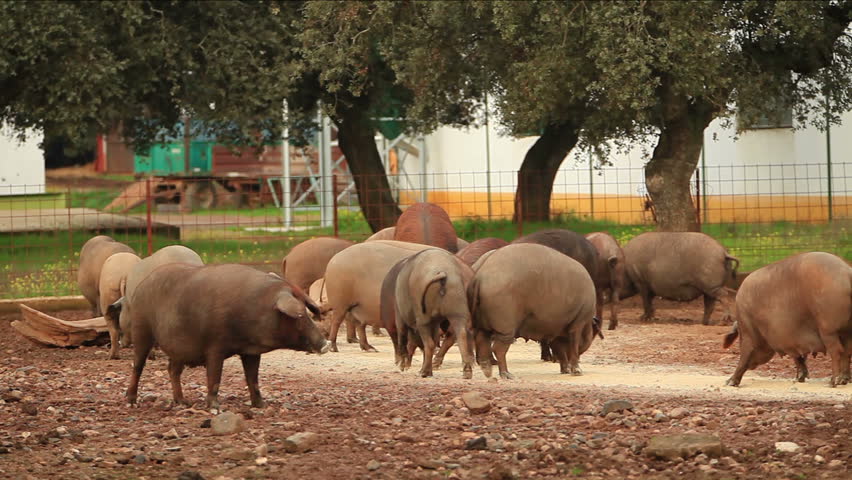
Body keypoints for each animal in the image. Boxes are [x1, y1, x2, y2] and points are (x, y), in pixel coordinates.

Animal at [724, 253, 852, 388]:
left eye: (739, 336)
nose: (752, 366)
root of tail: (848, 273)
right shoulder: (792, 341)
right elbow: (798, 358)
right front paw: (798, 379)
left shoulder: (750, 333)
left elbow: (744, 355)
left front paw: (729, 382)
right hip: (847, 330)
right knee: (847, 352)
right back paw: (843, 381)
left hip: (828, 329)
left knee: (837, 351)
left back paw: (832, 382)